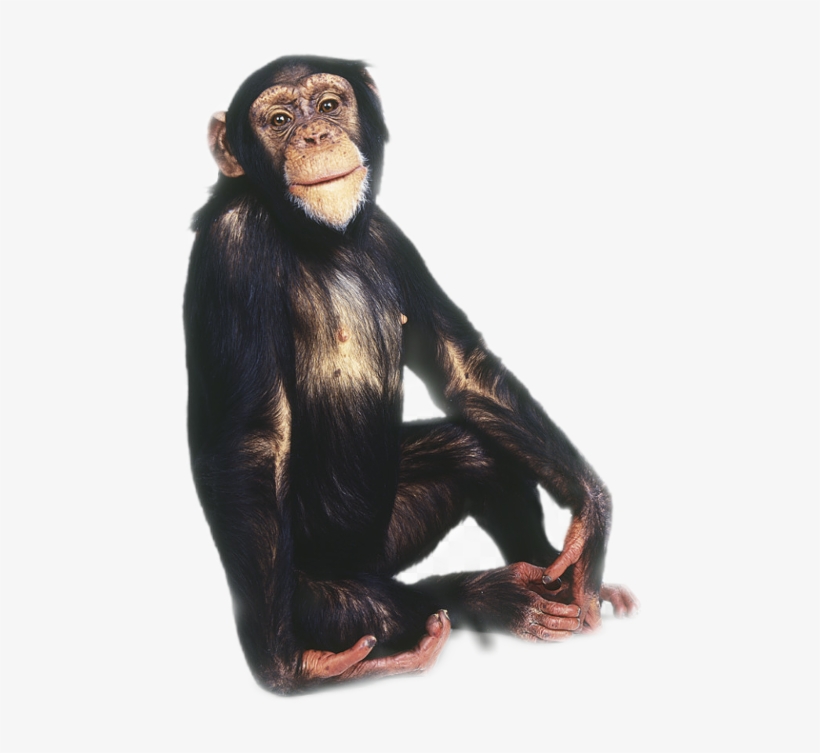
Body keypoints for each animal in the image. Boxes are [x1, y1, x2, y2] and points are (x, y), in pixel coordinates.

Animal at [184, 55, 637, 694]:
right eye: (278, 120)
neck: (323, 238)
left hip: (394, 533)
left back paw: (558, 581)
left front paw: (590, 520)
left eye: (328, 105)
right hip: (306, 579)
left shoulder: (392, 237)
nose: (314, 135)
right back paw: (488, 599)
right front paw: (282, 666)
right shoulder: (233, 247)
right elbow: (255, 441)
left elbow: (460, 366)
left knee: (475, 451)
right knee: (343, 606)